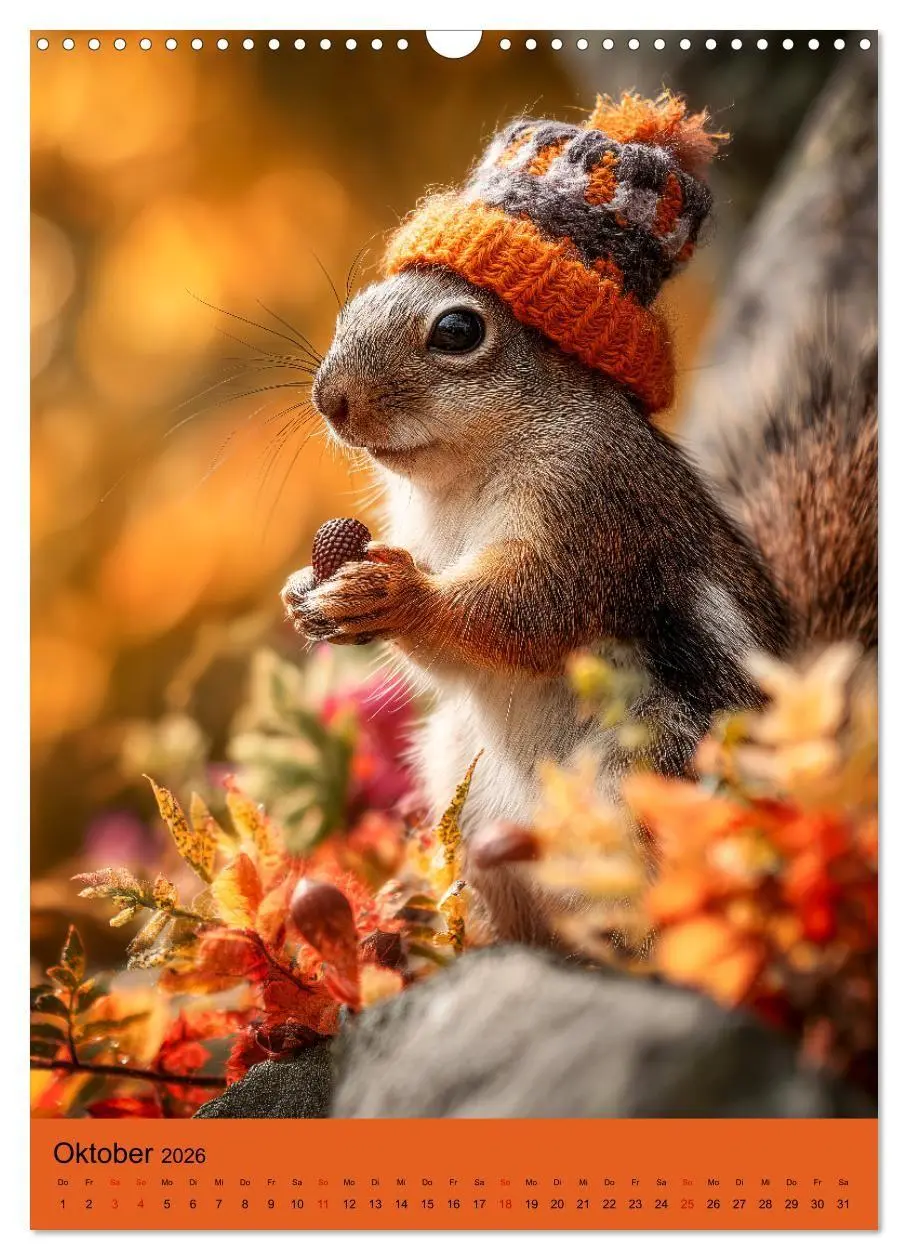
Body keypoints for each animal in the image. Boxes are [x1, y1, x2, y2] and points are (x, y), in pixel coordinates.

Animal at [281, 92, 877, 944]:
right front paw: (306, 590)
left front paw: (399, 596)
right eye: (353, 306)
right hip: (461, 776)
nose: (330, 399)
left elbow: (528, 611)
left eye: (458, 331)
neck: (461, 476)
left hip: (649, 768)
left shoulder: (594, 509)